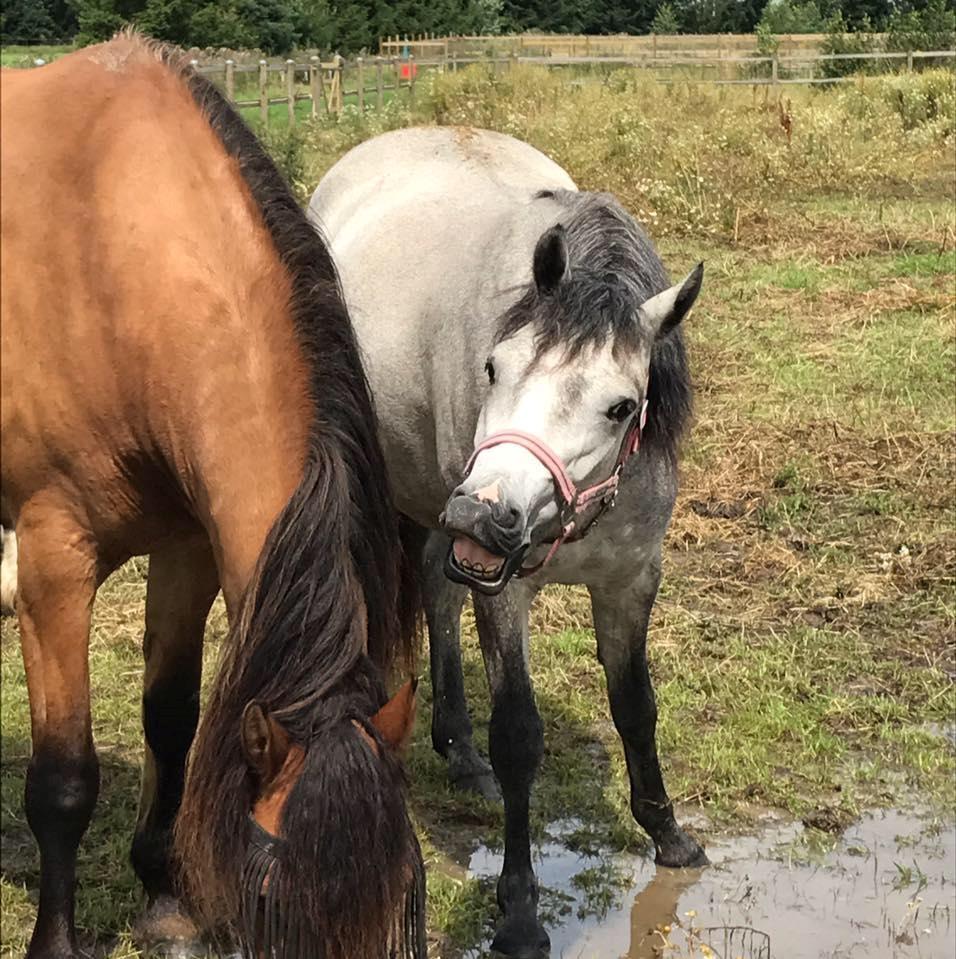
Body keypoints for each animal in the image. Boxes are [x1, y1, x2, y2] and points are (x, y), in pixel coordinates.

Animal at [0, 31, 420, 959]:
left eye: (397, 902)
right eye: (271, 898)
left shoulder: (186, 543)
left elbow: (171, 717)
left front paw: (165, 899)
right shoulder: (53, 558)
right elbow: (63, 777)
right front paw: (56, 941)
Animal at [310, 127, 704, 959]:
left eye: (623, 406)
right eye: (494, 367)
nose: (486, 516)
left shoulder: (630, 579)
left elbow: (636, 705)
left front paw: (669, 833)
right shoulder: (506, 586)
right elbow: (520, 736)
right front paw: (520, 911)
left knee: (435, 587)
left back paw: (458, 748)